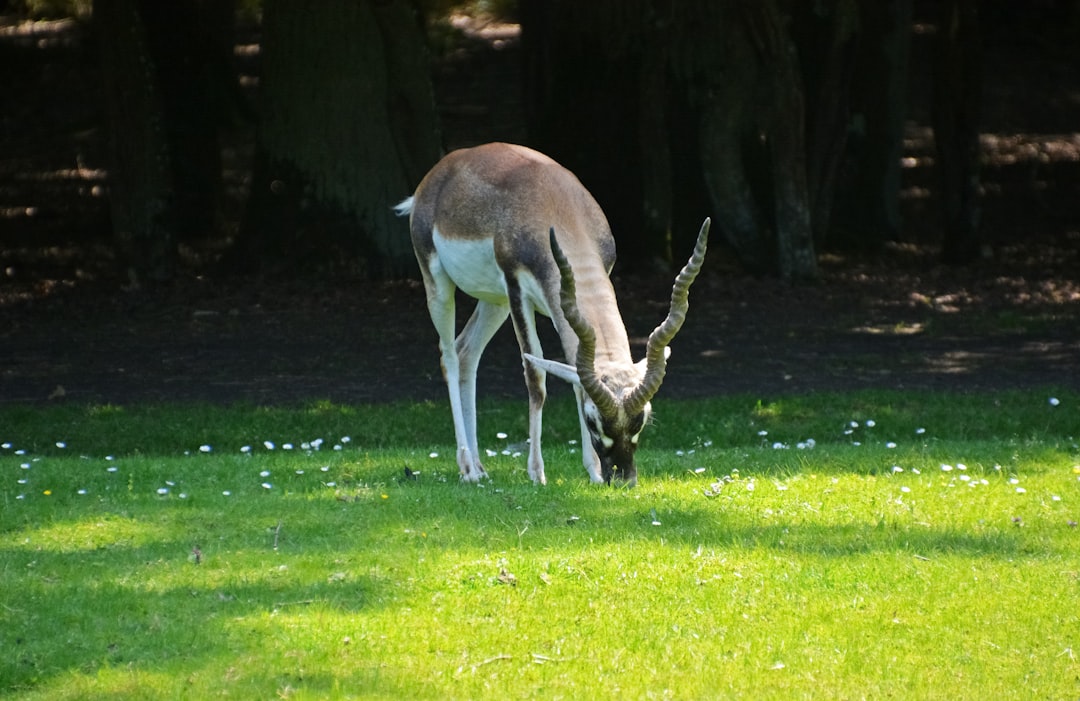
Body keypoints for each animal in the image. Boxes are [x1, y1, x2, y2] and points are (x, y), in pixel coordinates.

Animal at [397, 139, 708, 483]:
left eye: (642, 420)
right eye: (592, 420)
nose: (622, 477)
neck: (556, 207)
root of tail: (438, 172)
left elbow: (576, 375)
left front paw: (593, 472)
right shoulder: (516, 289)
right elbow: (536, 377)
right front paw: (537, 473)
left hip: (494, 301)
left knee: (467, 352)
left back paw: (479, 466)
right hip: (438, 284)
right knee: (449, 356)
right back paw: (467, 468)